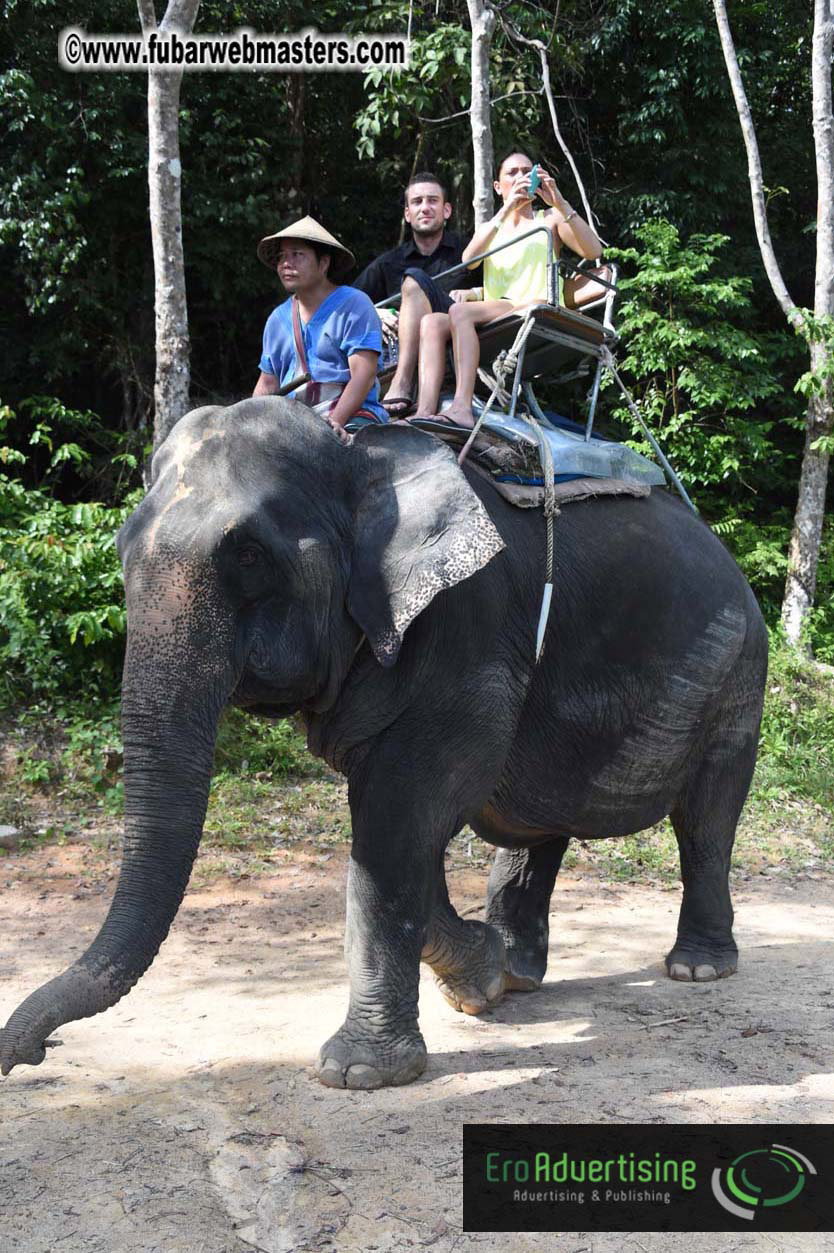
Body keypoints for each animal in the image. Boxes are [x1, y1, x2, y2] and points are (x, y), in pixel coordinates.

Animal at [0, 398, 768, 1089]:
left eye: (248, 555)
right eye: (121, 550)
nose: (27, 1054)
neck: (357, 456)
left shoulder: (468, 629)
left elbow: (400, 817)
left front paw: (359, 1072)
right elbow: (398, 827)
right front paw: (481, 980)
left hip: (739, 670)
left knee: (706, 818)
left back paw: (697, 967)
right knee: (534, 824)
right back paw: (519, 975)